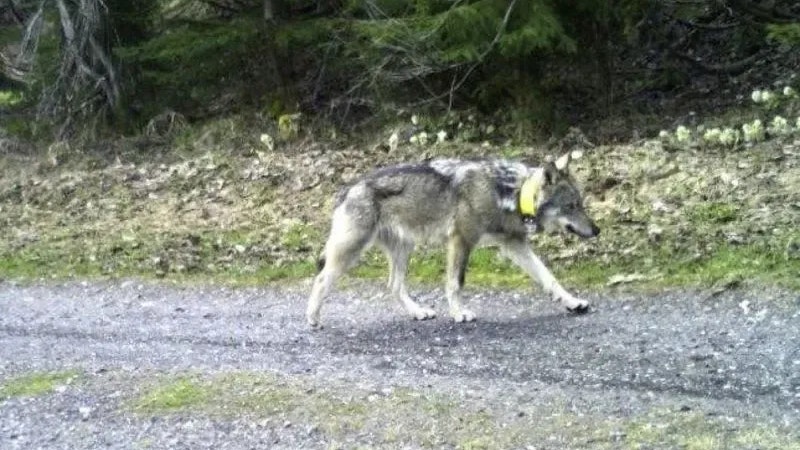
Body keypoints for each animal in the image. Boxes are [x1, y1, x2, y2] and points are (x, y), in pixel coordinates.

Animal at [306, 152, 600, 328]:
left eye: (581, 204)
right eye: (571, 206)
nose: (597, 230)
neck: (508, 192)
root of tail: (347, 189)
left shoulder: (514, 244)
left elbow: (549, 278)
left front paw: (572, 302)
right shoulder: (461, 240)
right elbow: (456, 283)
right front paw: (459, 314)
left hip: (403, 250)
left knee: (394, 286)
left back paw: (418, 312)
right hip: (351, 252)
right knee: (320, 279)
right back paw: (313, 318)